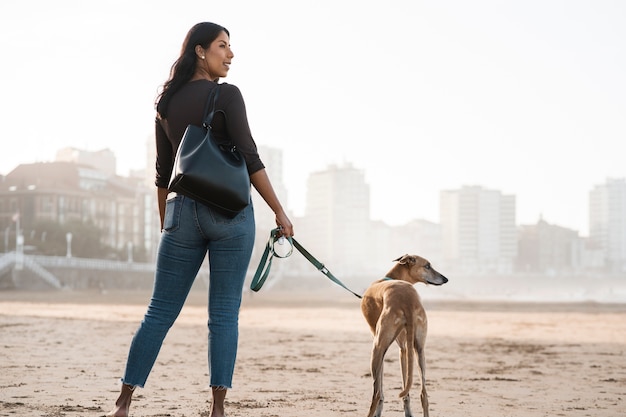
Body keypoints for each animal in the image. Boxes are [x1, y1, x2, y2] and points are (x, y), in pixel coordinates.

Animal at [358, 254, 446, 416]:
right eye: (427, 266)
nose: (445, 279)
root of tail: (407, 301)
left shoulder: (388, 346)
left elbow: (381, 387)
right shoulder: (405, 349)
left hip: (377, 347)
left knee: (376, 393)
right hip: (419, 350)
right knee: (423, 394)